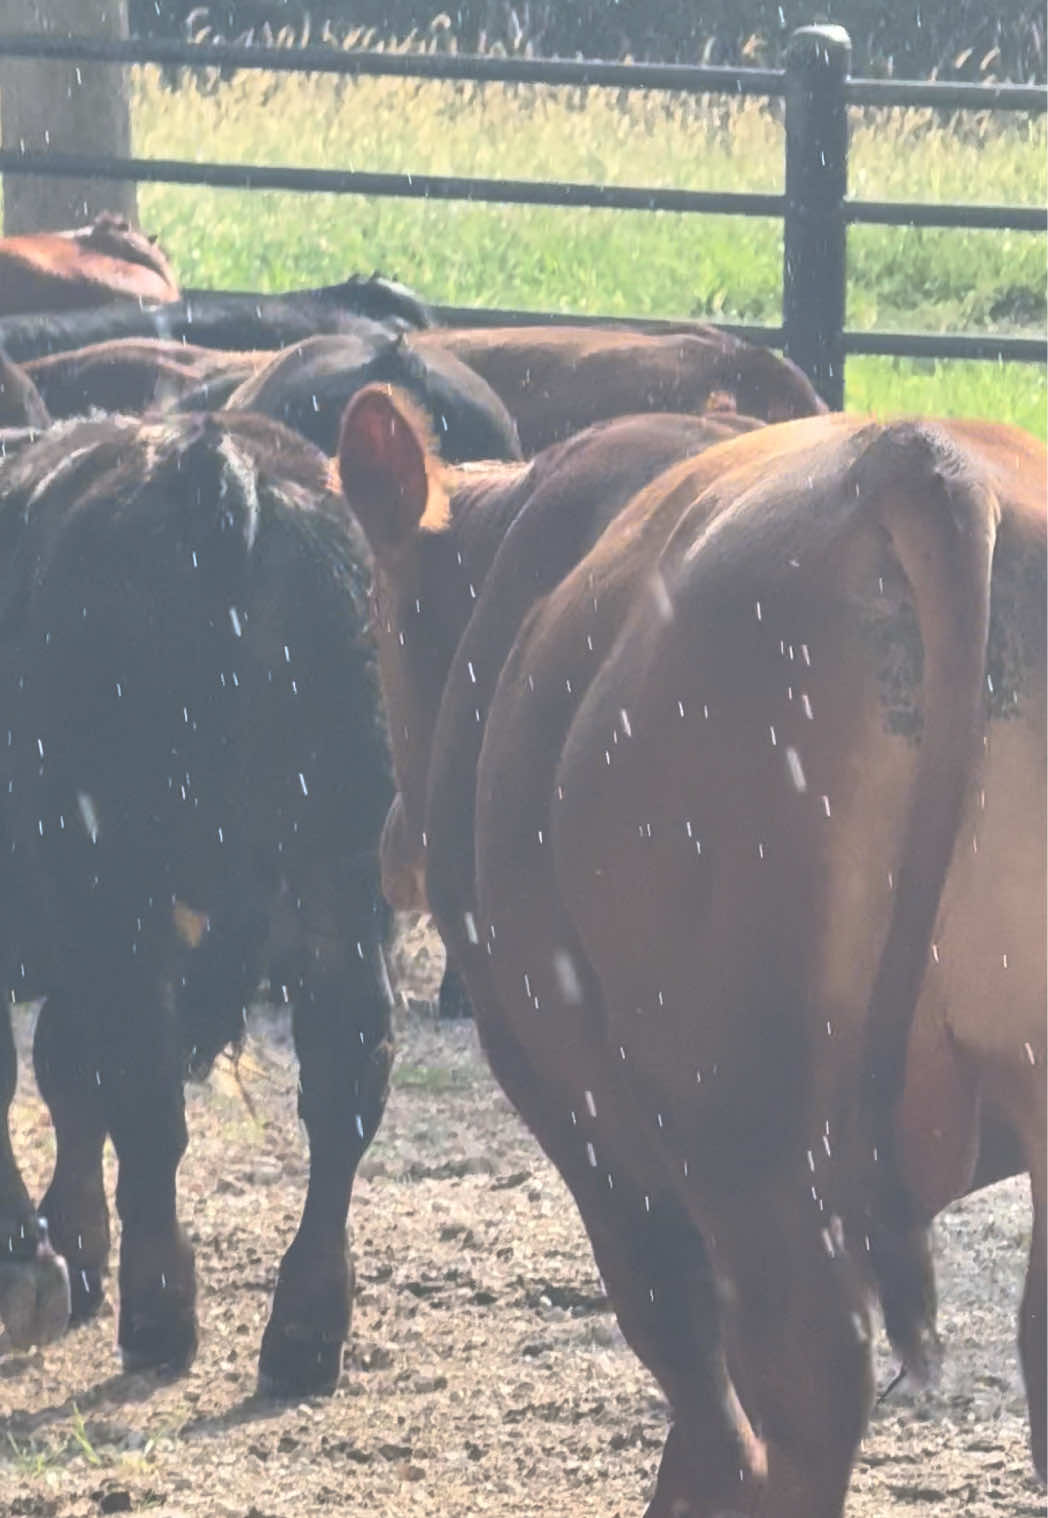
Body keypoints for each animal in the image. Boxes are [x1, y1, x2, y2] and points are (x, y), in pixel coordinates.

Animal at [0, 411, 396, 1398]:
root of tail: (217, 464)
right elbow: (66, 1071)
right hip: (341, 878)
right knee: (347, 1071)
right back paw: (304, 1328)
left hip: (124, 891)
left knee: (144, 1090)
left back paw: (157, 1313)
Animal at [337, 391, 1046, 1515]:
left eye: (378, 621)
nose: (393, 845)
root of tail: (925, 459)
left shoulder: (579, 1115)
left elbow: (684, 1360)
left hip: (743, 1128)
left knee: (797, 1380)